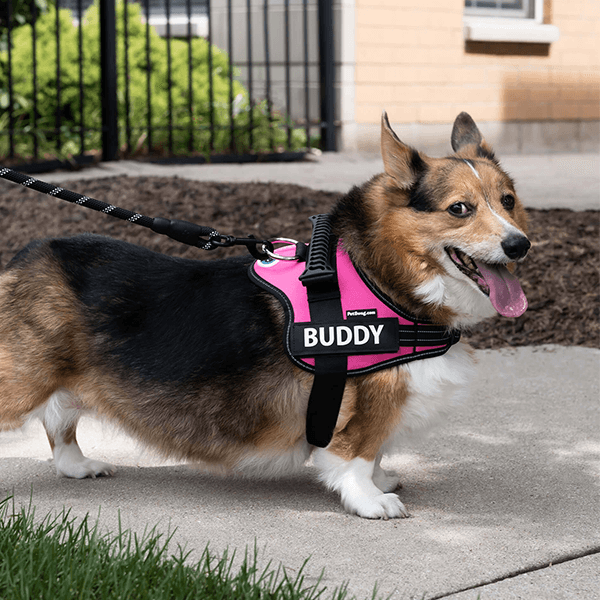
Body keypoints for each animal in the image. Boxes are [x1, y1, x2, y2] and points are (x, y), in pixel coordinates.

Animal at [0, 113, 528, 520]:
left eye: (508, 201)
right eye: (459, 209)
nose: (519, 245)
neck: (380, 278)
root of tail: (22, 258)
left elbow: (377, 454)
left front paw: (384, 479)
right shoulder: (369, 401)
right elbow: (357, 455)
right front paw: (371, 500)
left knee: (61, 424)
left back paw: (79, 466)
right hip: (20, 382)